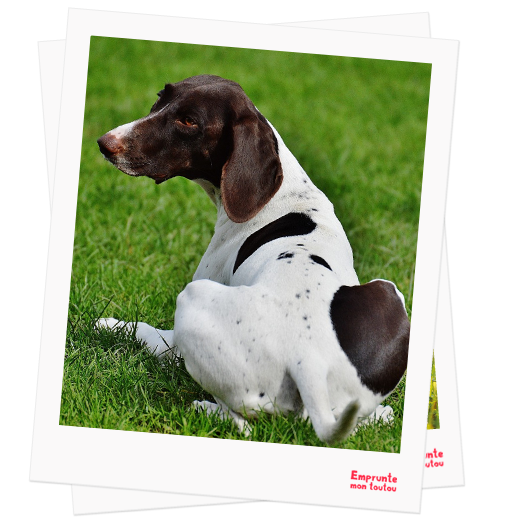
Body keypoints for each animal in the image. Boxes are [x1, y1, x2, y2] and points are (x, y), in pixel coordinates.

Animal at [97, 73, 410, 442]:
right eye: (161, 96)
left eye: (189, 121)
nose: (105, 143)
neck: (283, 193)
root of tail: (307, 359)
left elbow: (147, 333)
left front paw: (110, 325)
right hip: (388, 292)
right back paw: (382, 416)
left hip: (193, 300)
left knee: (240, 420)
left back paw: (204, 408)